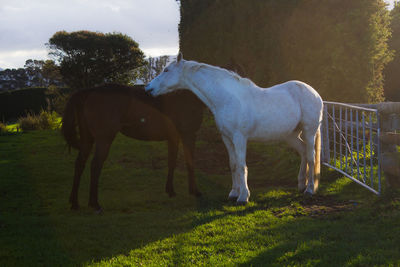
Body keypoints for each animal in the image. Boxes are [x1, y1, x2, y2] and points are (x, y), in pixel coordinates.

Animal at [62, 84, 206, 211]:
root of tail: (90, 91)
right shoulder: (188, 134)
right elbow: (190, 162)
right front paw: (195, 191)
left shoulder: (173, 138)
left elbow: (172, 162)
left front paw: (170, 191)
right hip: (104, 139)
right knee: (95, 165)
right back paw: (94, 203)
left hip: (87, 139)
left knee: (80, 163)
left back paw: (74, 202)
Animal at [145, 54, 324, 205]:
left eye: (166, 70)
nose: (148, 89)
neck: (227, 98)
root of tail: (314, 93)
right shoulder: (226, 137)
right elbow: (232, 164)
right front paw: (233, 193)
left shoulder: (239, 138)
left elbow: (241, 165)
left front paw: (243, 197)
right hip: (291, 135)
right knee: (303, 152)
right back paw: (301, 185)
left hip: (309, 132)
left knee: (311, 156)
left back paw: (309, 189)